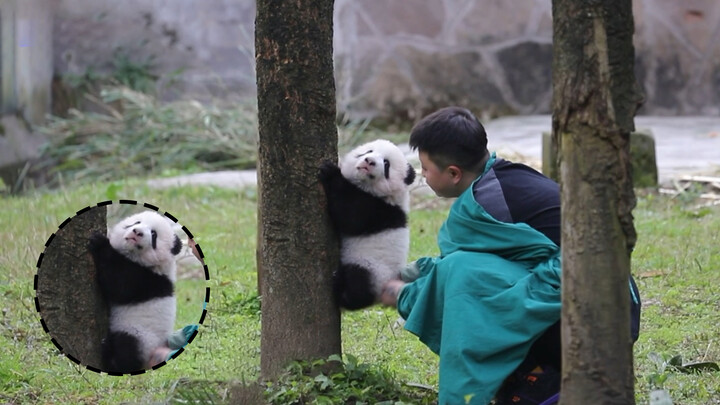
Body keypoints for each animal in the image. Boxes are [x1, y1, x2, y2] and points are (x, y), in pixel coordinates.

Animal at [88, 210, 183, 370]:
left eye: (154, 234)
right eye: (137, 222)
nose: (137, 232)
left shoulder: (149, 280)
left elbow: (119, 285)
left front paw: (100, 243)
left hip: (142, 336)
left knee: (127, 347)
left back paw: (110, 355)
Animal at [320, 139, 416, 310]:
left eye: (386, 163)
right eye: (368, 151)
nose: (369, 161)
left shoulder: (382, 210)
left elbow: (351, 216)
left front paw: (331, 173)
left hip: (374, 269)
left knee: (359, 283)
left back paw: (342, 289)